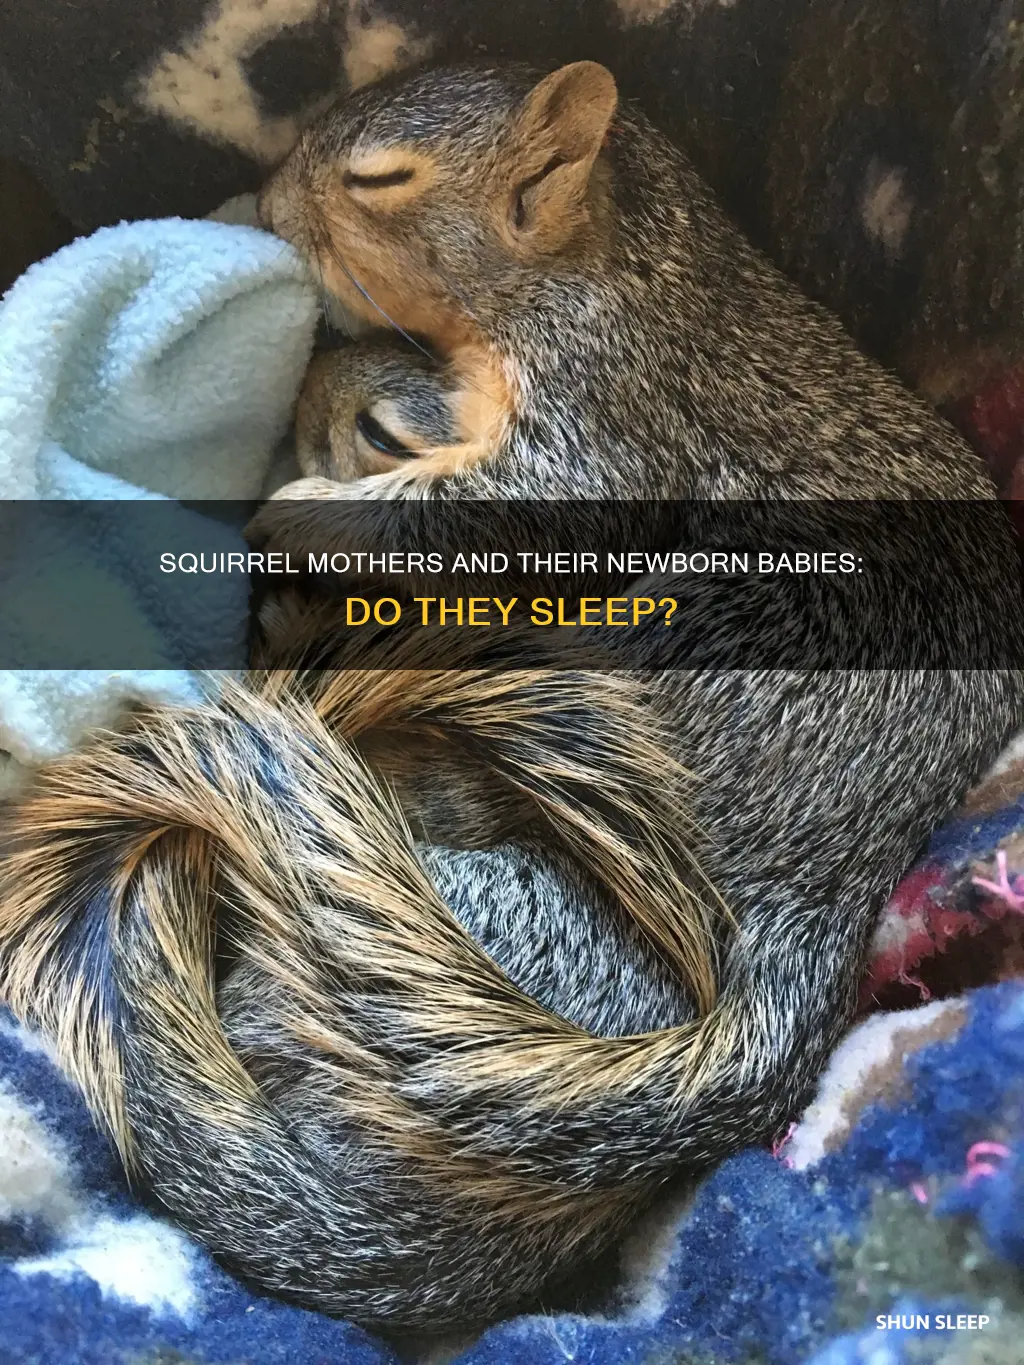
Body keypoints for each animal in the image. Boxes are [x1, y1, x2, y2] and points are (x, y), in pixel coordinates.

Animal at [2, 60, 1024, 1332]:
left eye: (378, 178)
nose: (262, 200)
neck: (630, 257)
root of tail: (802, 904)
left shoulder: (611, 408)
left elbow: (514, 504)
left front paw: (295, 513)